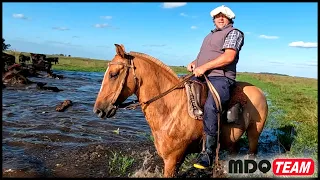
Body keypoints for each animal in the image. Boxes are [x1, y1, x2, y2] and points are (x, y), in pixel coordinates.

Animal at [94, 44, 268, 177]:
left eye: (114, 74)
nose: (98, 110)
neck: (171, 110)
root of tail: (259, 91)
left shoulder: (173, 160)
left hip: (254, 134)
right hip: (232, 142)